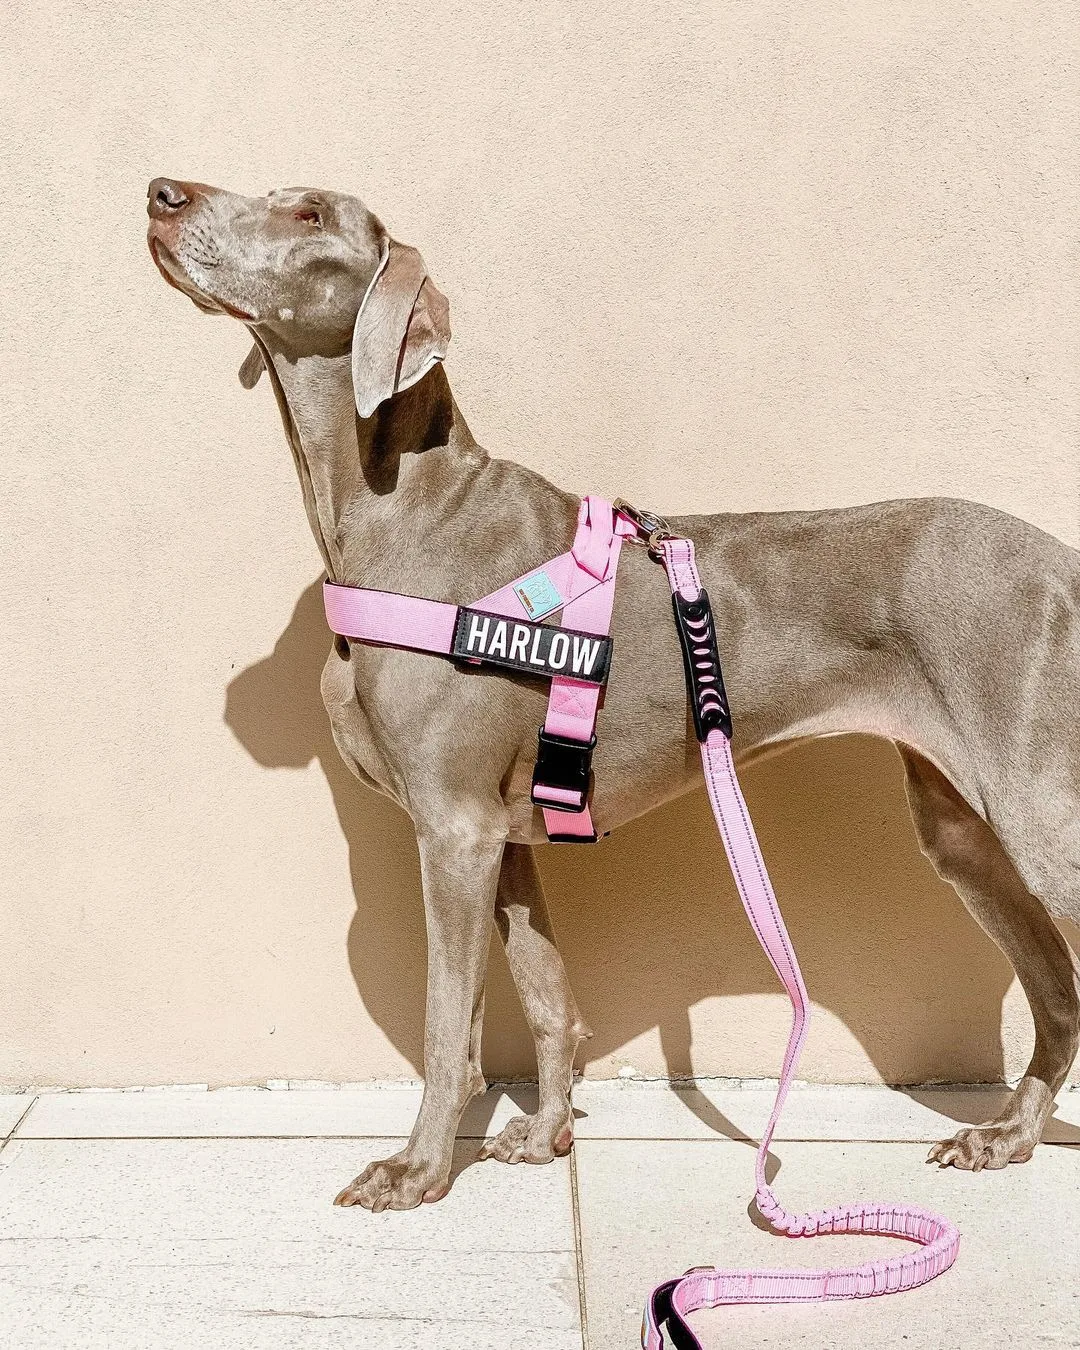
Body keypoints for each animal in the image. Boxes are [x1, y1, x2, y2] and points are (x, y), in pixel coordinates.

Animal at [145, 176, 1080, 1215]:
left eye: (308, 213)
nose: (161, 192)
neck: (407, 509)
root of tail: (1064, 561)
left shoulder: (453, 830)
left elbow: (446, 1028)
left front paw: (418, 1172)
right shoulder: (502, 836)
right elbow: (548, 993)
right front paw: (546, 1133)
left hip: (1040, 813)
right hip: (963, 831)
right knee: (1056, 992)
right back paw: (1005, 1138)